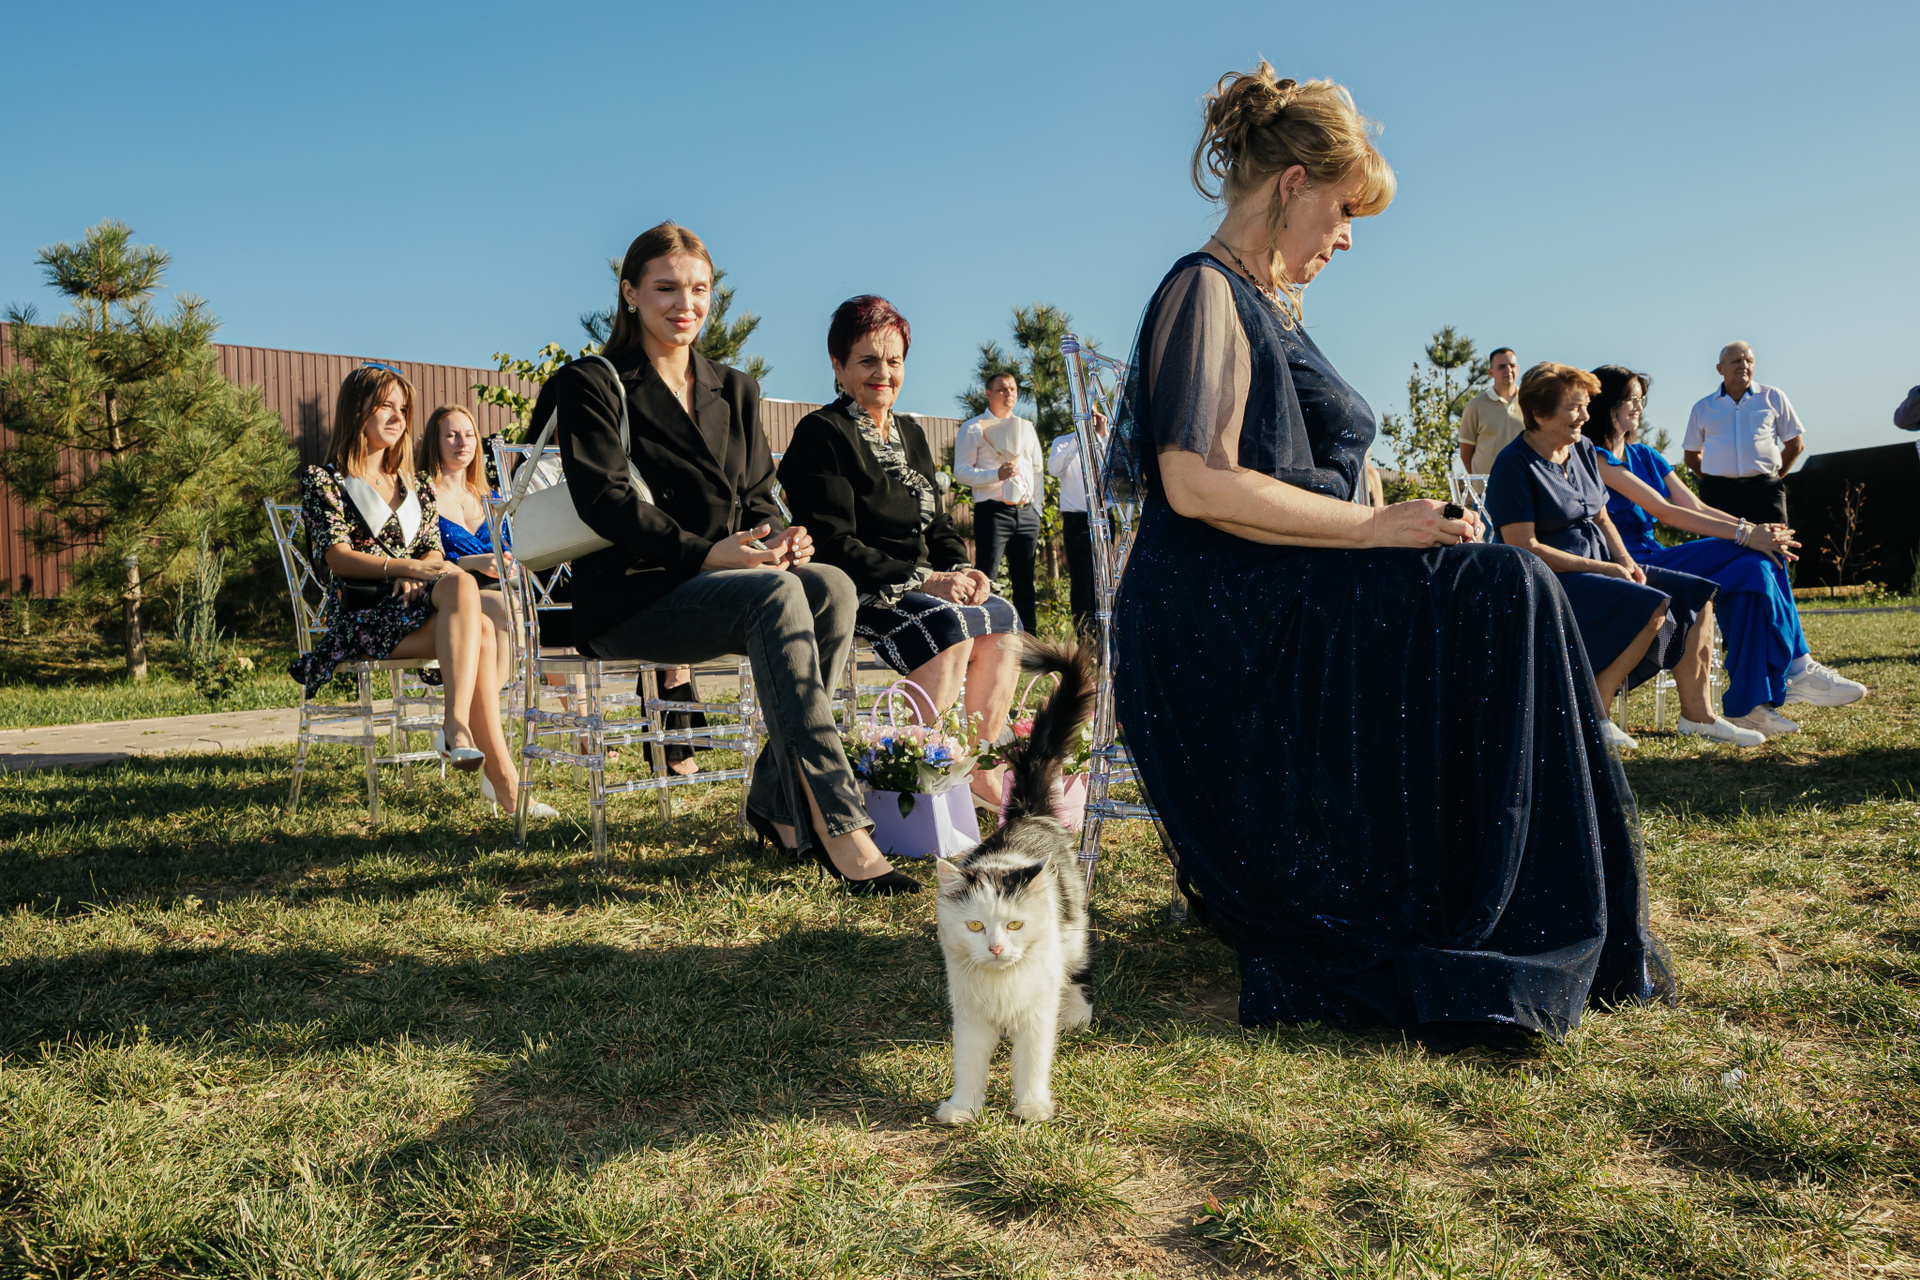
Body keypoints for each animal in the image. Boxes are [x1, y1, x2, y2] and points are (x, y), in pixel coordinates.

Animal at [933, 638, 1095, 1124]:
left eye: (1015, 924)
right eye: (975, 926)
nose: (996, 948)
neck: (1001, 985)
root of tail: (1027, 813)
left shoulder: (1036, 1013)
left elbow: (1033, 1061)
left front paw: (1032, 1107)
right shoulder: (969, 1017)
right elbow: (968, 1064)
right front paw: (962, 1110)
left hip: (1074, 935)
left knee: (1080, 972)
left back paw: (1078, 1014)